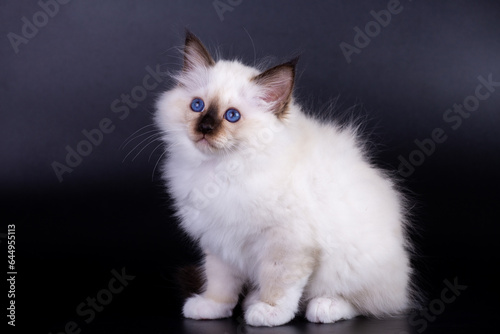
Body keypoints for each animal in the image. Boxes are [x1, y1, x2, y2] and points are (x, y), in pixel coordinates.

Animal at [155, 30, 414, 326]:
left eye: (232, 116)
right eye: (197, 106)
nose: (205, 128)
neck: (220, 171)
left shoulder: (287, 243)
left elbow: (279, 282)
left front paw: (269, 312)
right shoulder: (220, 242)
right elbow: (220, 283)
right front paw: (212, 307)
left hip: (351, 266)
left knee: (366, 303)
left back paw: (324, 307)